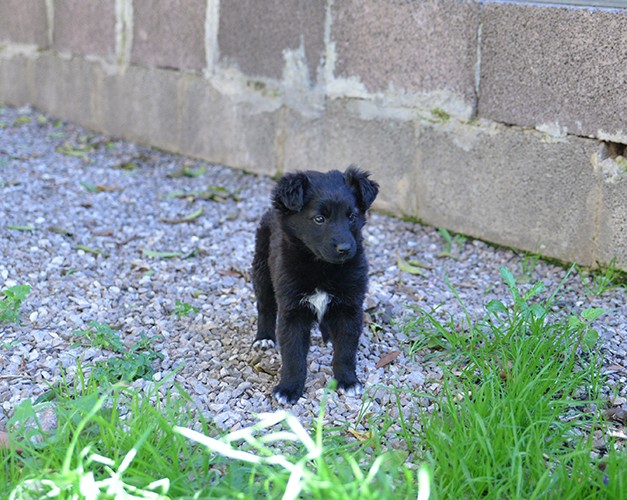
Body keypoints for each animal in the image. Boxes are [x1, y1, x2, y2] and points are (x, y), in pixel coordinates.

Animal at [250, 166, 378, 404]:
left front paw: (347, 381)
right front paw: (289, 388)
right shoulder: (292, 311)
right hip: (261, 271)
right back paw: (263, 338)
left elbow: (346, 350)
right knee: (265, 307)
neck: (323, 268)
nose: (346, 249)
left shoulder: (350, 306)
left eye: (352, 216)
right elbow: (293, 355)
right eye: (319, 219)